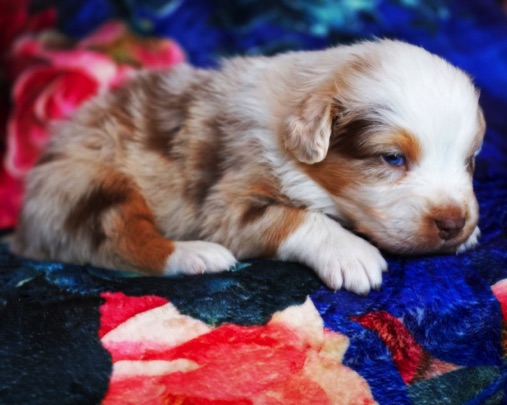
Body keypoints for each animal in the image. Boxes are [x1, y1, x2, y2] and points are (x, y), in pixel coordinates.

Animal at [11, 39, 485, 294]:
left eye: (469, 160)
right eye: (392, 158)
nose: (453, 223)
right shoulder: (225, 200)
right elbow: (298, 218)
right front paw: (352, 253)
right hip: (88, 183)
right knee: (119, 241)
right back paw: (197, 255)